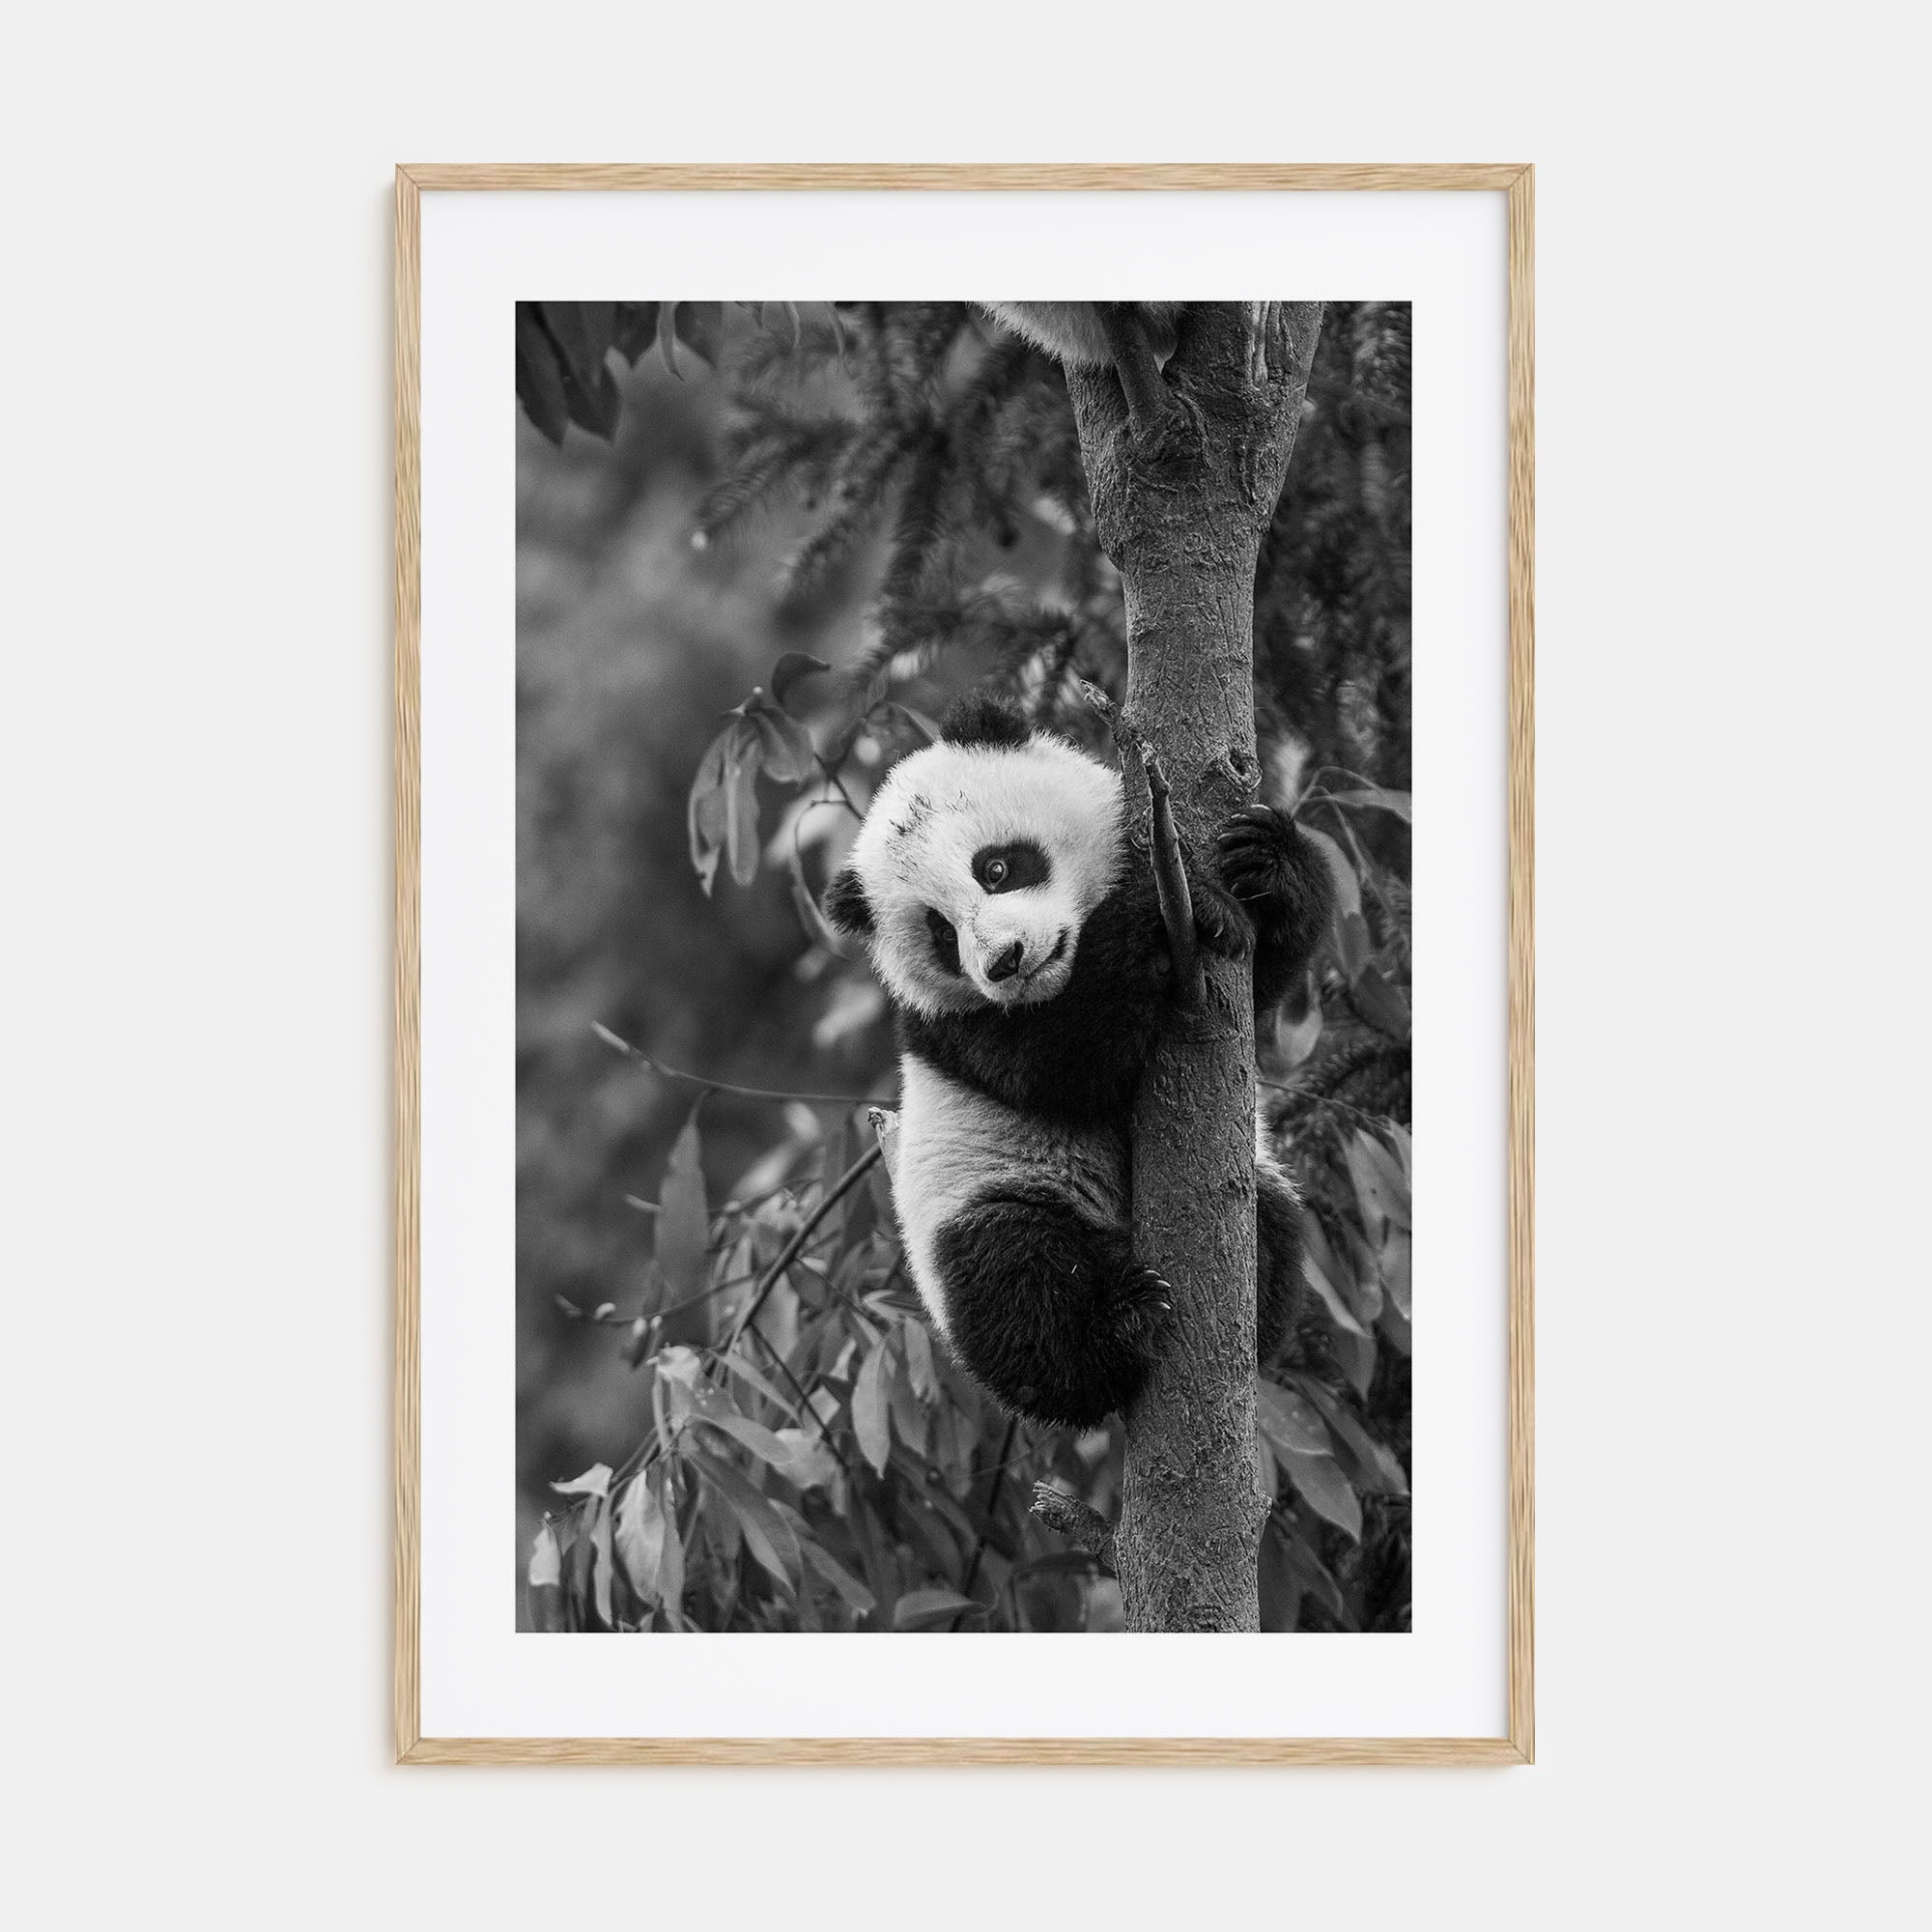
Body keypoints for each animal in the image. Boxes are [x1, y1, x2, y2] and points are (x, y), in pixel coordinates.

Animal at [822, 694, 1332, 1430]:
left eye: (996, 867)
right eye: (941, 934)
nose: (1005, 962)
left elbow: (1263, 978)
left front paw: (1264, 862)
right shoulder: (953, 1027)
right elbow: (1062, 1064)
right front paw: (1160, 916)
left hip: (1258, 1180)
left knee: (1277, 1221)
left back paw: (1251, 1310)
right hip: (986, 1197)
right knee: (1017, 1285)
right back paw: (1121, 1325)